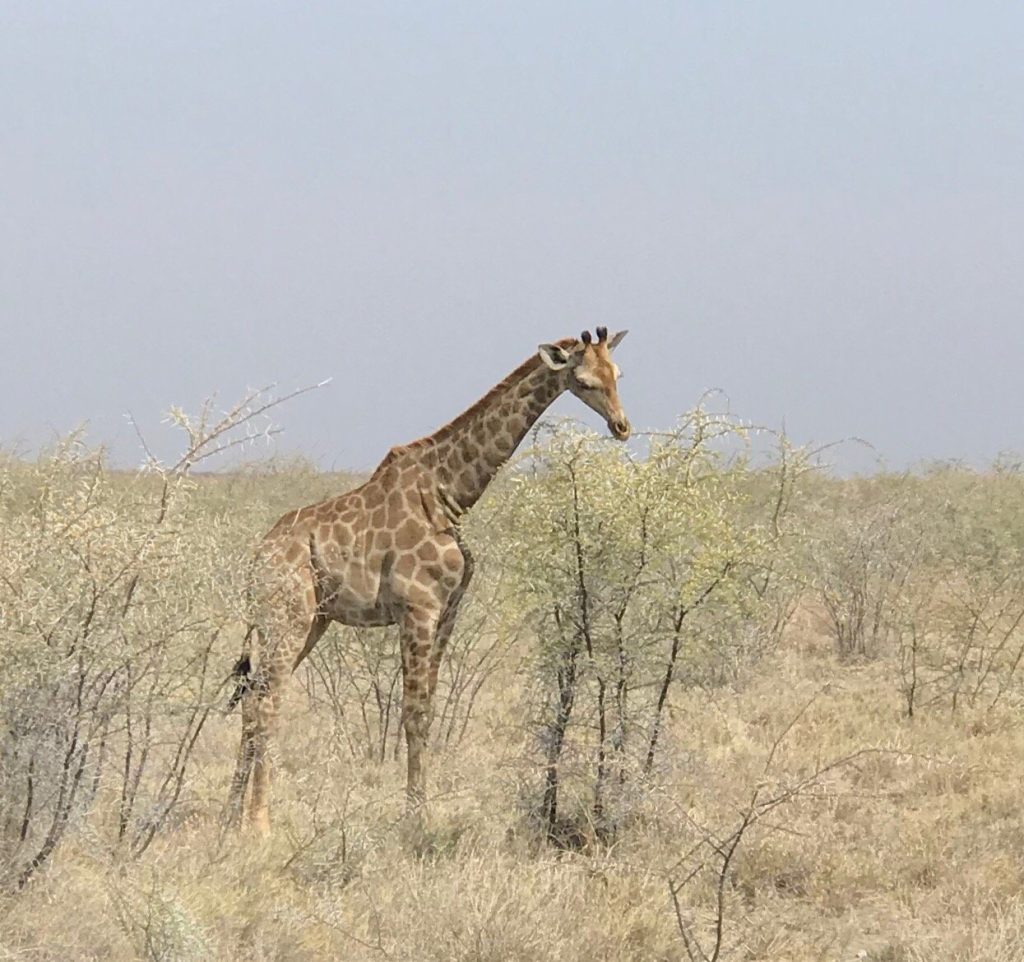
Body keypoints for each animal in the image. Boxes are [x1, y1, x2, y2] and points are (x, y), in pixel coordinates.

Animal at [226, 327, 630, 836]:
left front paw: (423, 807)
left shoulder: (449, 610)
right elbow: (412, 713)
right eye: (584, 380)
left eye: (617, 375)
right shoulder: (417, 608)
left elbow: (429, 710)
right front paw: (414, 817)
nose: (622, 426)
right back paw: (258, 823)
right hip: (288, 618)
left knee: (251, 702)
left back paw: (229, 816)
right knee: (267, 704)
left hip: (305, 621)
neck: (449, 494)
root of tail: (255, 561)